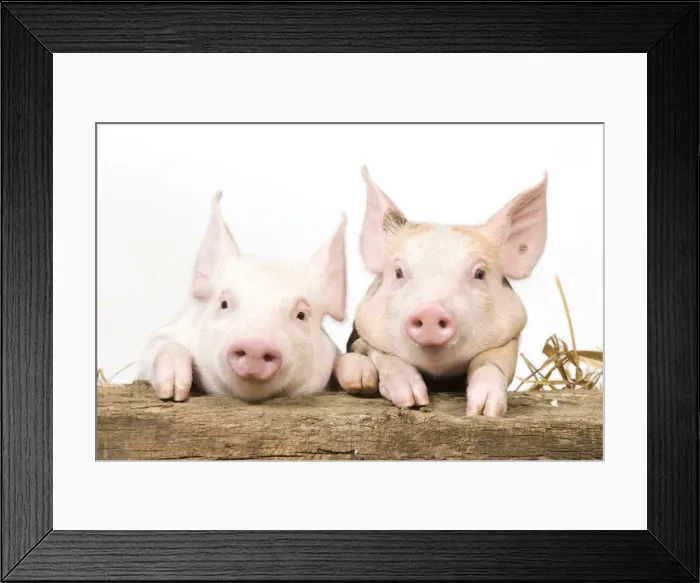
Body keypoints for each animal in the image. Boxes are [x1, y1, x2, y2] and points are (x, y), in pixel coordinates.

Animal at [335, 165, 548, 417]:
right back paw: (361, 381)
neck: (438, 376)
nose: (430, 311)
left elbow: (492, 362)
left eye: (480, 273)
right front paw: (412, 400)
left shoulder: (509, 334)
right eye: (398, 272)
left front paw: (483, 411)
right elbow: (384, 355)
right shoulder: (365, 330)